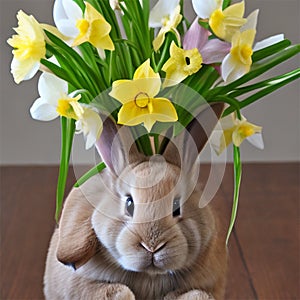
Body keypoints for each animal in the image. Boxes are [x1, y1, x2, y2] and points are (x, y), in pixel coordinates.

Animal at [44, 102, 227, 298]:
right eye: (129, 204)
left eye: (177, 207)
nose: (152, 246)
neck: (149, 277)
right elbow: (114, 290)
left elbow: (198, 294)